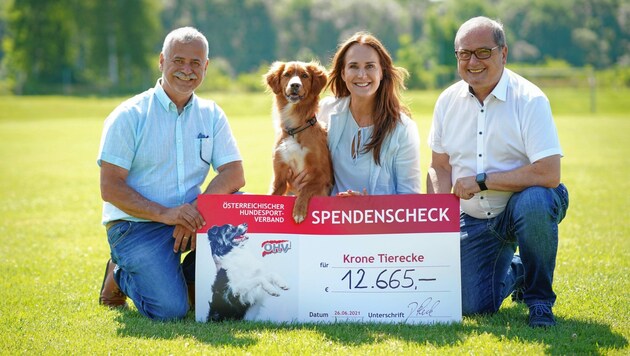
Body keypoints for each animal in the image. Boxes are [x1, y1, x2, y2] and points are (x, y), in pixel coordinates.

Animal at [264, 60, 334, 222]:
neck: (295, 130)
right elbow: (273, 193)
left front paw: (299, 210)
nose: (295, 85)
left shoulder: (323, 176)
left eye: (304, 76)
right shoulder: (280, 176)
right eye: (286, 74)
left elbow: (306, 188)